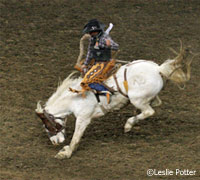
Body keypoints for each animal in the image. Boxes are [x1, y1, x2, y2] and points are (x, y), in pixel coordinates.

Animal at [35, 42, 194, 159]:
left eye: (47, 125)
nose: (54, 142)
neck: (75, 97)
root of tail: (158, 69)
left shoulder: (83, 118)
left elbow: (76, 137)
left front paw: (66, 152)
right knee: (155, 103)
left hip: (137, 99)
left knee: (149, 111)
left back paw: (129, 124)